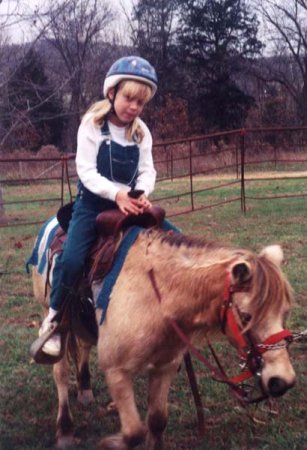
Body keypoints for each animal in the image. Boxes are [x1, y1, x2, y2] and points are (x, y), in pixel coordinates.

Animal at [30, 223, 298, 448]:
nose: (282, 381)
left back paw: (85, 389)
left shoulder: (164, 367)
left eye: (285, 311)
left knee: (84, 346)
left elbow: (157, 422)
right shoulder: (117, 371)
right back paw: (65, 429)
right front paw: (108, 443)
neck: (157, 298)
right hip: (51, 313)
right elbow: (134, 433)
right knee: (60, 370)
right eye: (245, 316)